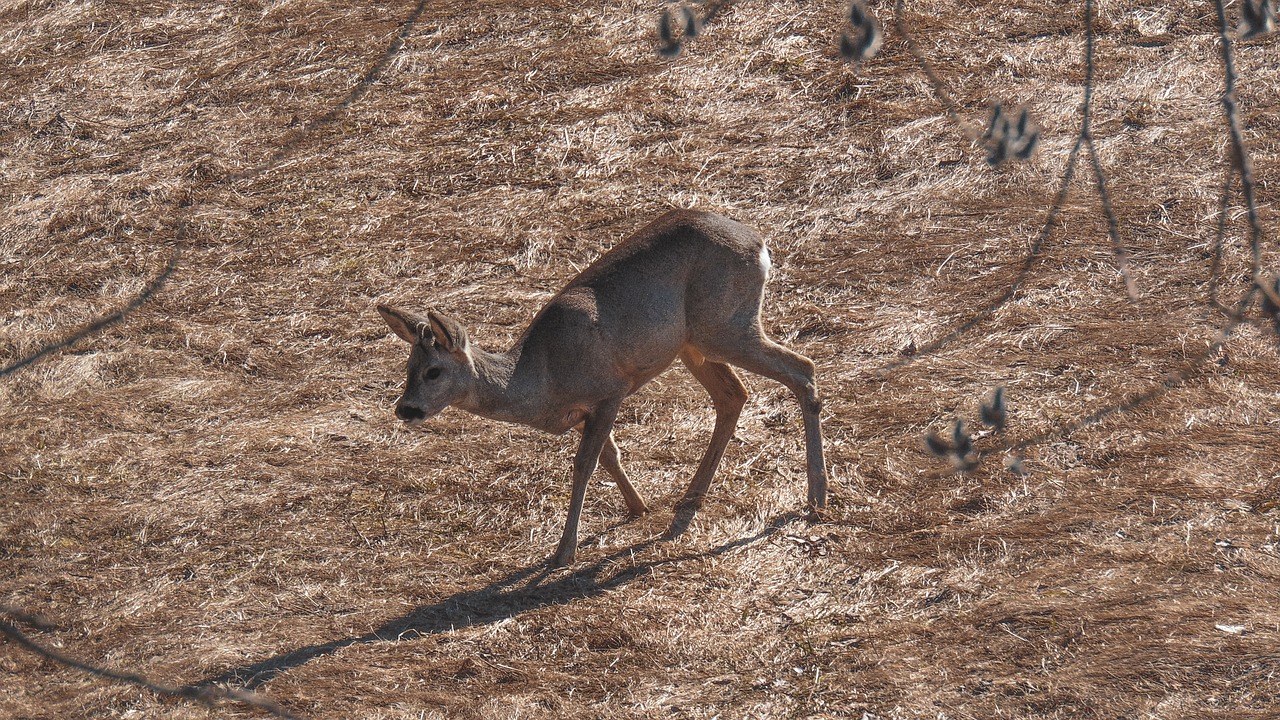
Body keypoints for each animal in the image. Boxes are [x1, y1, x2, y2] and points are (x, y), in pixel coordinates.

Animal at [376, 208, 829, 566]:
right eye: (409, 367)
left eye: (434, 372)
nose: (405, 408)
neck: (542, 379)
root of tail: (759, 243)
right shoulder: (581, 412)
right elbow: (609, 456)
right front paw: (638, 507)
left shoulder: (611, 389)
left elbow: (585, 464)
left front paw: (564, 551)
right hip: (692, 343)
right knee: (734, 394)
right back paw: (690, 498)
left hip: (724, 325)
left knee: (802, 368)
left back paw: (817, 498)